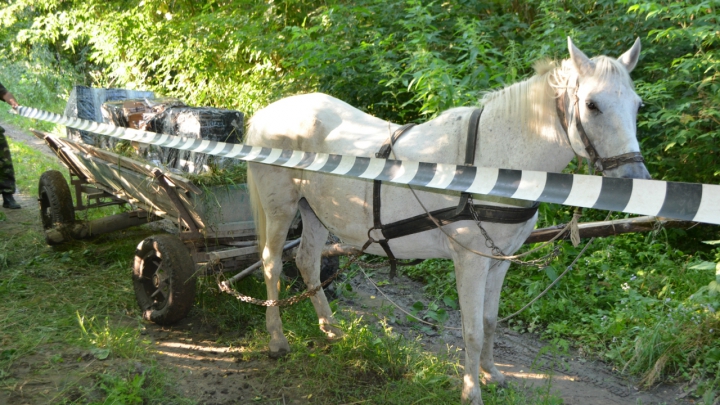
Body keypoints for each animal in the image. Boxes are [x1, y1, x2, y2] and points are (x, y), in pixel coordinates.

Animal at [245, 38, 648, 404]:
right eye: (592, 104)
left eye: (637, 105)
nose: (636, 178)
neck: (496, 162)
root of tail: (266, 114)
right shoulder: (471, 259)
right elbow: (471, 330)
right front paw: (472, 392)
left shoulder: (499, 260)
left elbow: (489, 321)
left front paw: (491, 373)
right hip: (281, 209)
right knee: (272, 264)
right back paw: (277, 339)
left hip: (314, 210)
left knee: (308, 261)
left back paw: (331, 330)